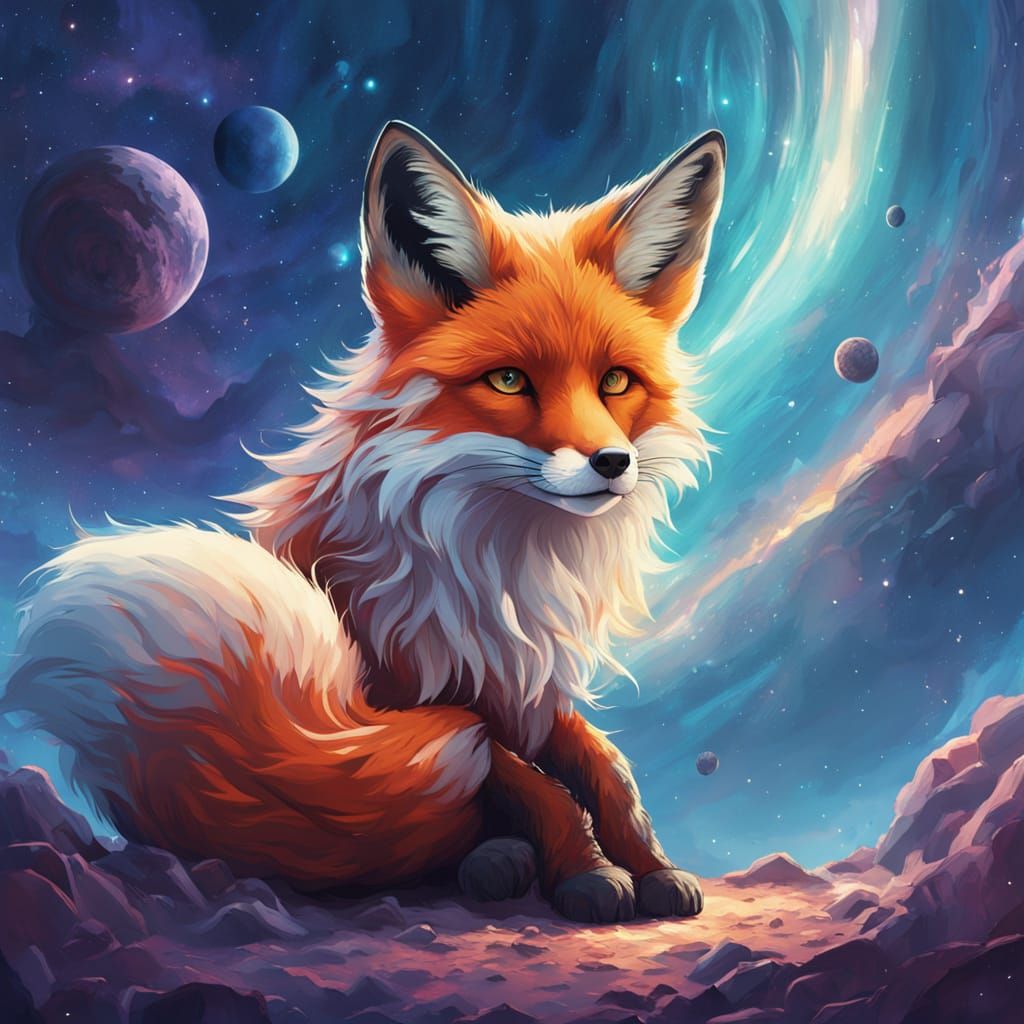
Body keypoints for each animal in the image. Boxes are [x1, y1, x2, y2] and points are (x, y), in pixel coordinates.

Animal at [4, 121, 725, 923]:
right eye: (509, 381)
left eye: (616, 381)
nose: (611, 463)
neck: (497, 564)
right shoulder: (416, 689)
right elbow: (526, 779)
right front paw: (590, 872)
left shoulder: (529, 687)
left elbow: (609, 770)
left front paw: (653, 866)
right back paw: (495, 862)